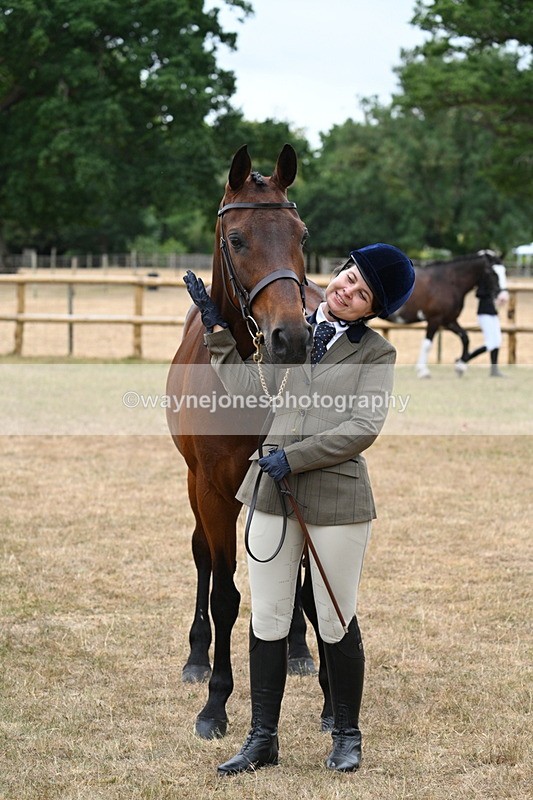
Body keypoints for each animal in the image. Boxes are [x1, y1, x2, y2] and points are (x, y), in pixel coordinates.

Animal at [166, 144, 327, 739]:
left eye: (302, 234)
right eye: (236, 239)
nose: (292, 338)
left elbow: (297, 578)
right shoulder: (213, 491)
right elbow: (225, 594)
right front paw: (214, 702)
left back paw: (299, 650)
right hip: (195, 487)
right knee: (202, 558)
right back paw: (195, 658)